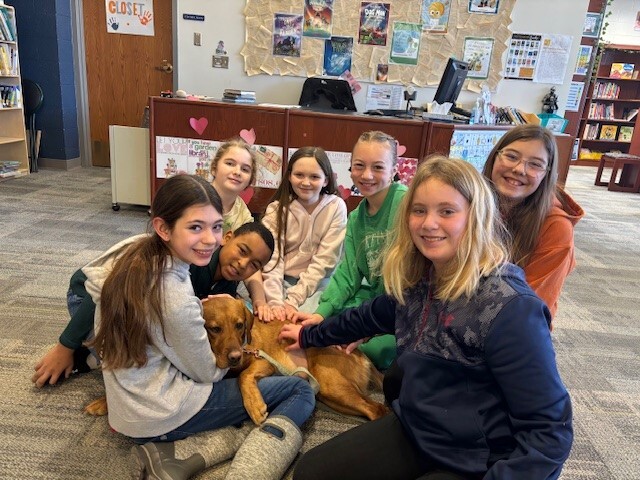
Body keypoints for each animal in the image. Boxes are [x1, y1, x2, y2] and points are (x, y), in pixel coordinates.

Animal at [87, 298, 388, 426]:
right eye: (214, 328)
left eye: (240, 324)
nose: (233, 357)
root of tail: (361, 353)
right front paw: (102, 403)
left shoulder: (264, 363)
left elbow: (244, 377)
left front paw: (254, 405)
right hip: (328, 393)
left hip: (330, 383)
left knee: (378, 408)